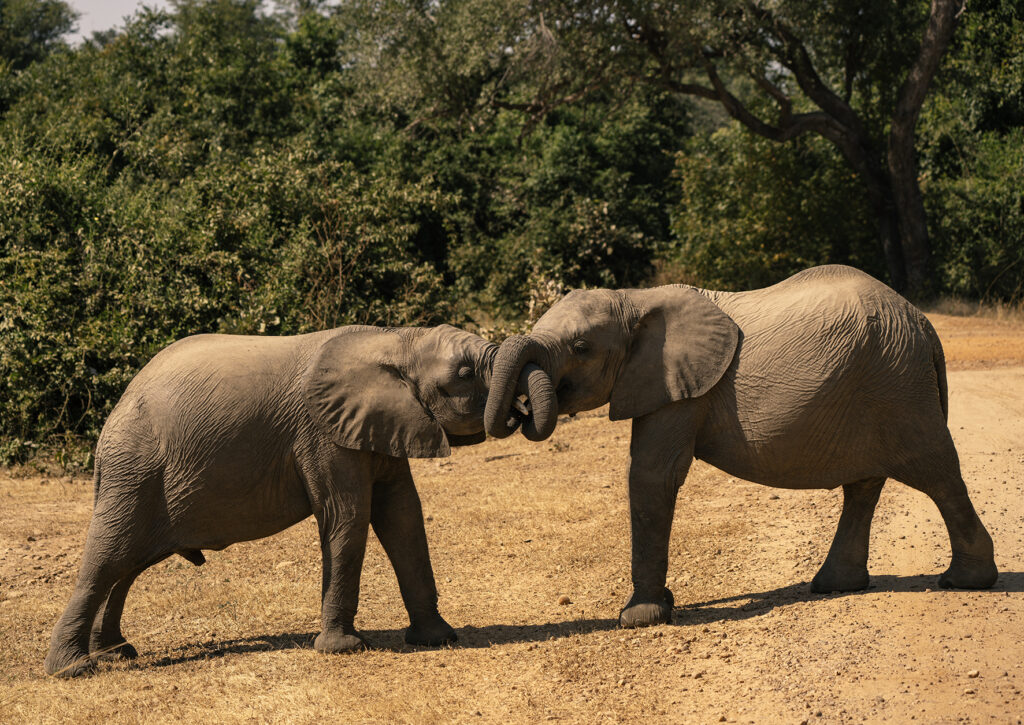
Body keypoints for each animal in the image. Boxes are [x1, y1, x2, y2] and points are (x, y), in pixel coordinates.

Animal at [45, 324, 496, 677]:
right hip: (135, 471)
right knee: (108, 558)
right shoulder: (321, 434)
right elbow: (348, 516)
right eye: (465, 373)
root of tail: (112, 417)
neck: (394, 339)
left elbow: (403, 516)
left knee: (127, 564)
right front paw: (344, 649)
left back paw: (116, 655)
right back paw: (73, 670)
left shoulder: (382, 425)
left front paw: (438, 639)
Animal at [485, 265, 998, 629]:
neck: (636, 297)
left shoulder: (681, 388)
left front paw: (640, 618)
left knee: (937, 473)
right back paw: (834, 586)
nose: (519, 410)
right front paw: (658, 607)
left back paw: (965, 582)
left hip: (898, 383)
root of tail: (924, 324)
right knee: (865, 485)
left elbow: (652, 473)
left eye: (581, 347)